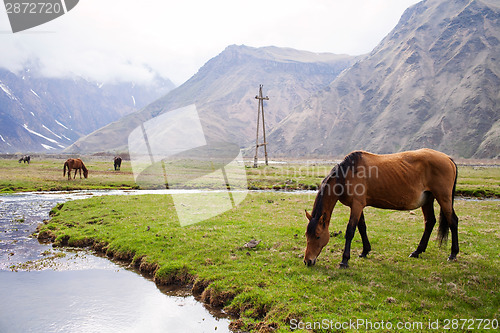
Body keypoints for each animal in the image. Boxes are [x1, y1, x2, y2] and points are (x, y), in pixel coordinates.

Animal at [302, 148, 458, 268]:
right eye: (307, 235)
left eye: (317, 236)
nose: (308, 261)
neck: (347, 175)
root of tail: (448, 158)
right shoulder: (358, 206)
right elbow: (362, 227)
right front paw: (365, 251)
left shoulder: (357, 206)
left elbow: (350, 231)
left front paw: (344, 260)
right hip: (428, 200)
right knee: (430, 222)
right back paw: (417, 252)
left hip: (443, 198)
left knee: (453, 221)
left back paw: (453, 254)